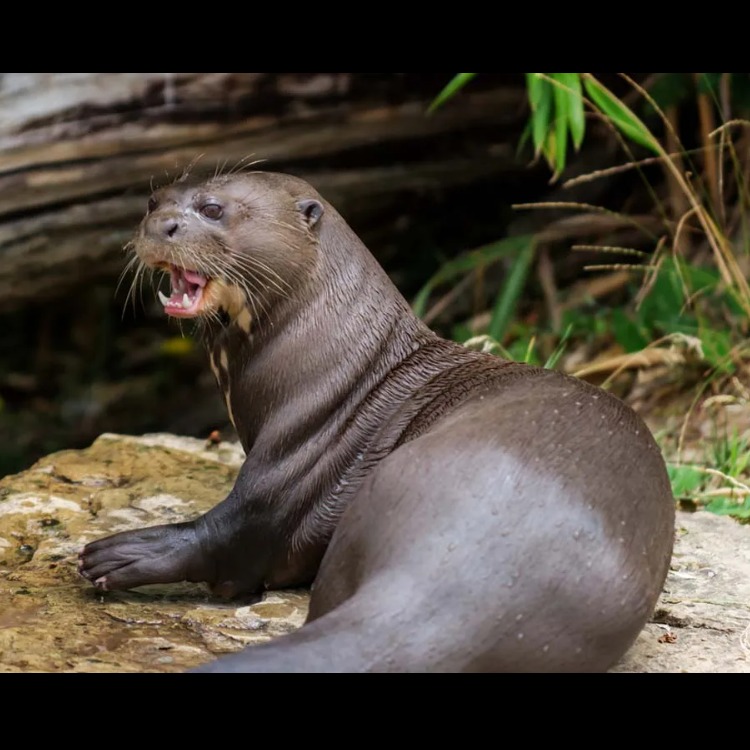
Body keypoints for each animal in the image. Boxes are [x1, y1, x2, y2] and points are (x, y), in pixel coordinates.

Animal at [79, 171, 675, 672]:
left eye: (212, 208)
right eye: (153, 201)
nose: (161, 225)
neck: (342, 365)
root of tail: (456, 580)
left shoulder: (291, 462)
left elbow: (236, 532)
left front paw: (118, 553)